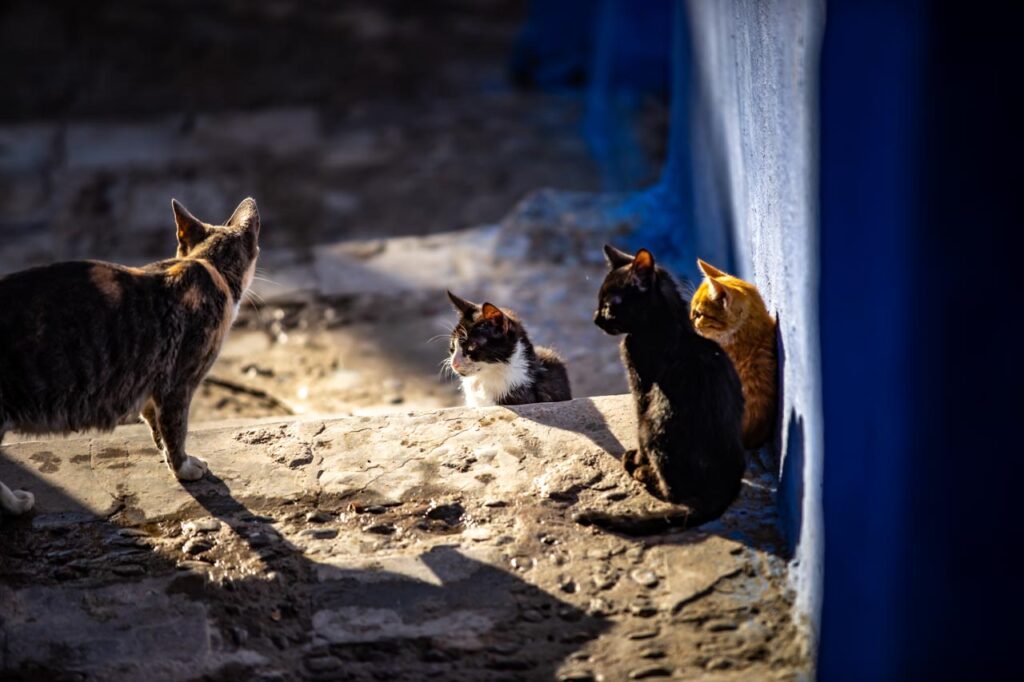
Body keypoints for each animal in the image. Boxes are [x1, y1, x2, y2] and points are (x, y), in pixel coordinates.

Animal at [0, 193, 260, 507]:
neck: (207, 265)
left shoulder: (149, 378)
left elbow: (156, 425)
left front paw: (165, 455)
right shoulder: (177, 384)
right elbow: (176, 430)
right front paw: (183, 468)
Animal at [573, 246, 749, 532]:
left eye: (608, 305)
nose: (595, 319)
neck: (671, 325)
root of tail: (719, 496)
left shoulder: (641, 387)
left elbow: (637, 422)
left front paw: (638, 459)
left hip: (654, 424)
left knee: (671, 492)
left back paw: (640, 470)